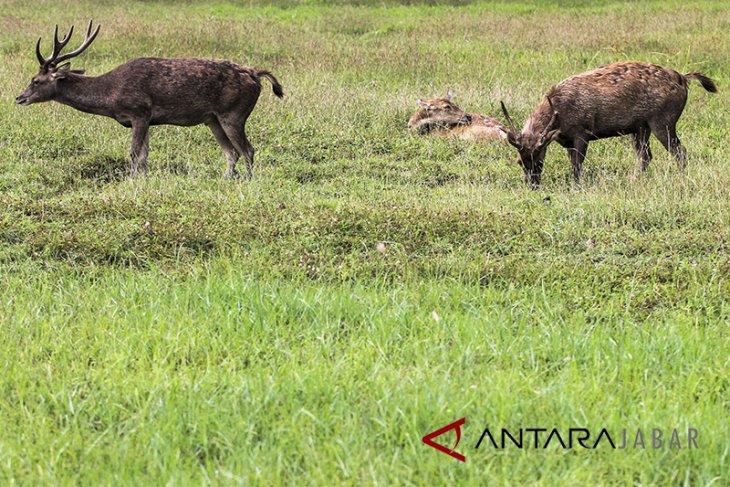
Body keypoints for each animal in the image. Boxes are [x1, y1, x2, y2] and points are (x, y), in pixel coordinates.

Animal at [14, 21, 282, 179]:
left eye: (35, 80)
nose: (19, 98)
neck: (111, 95)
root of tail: (255, 74)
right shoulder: (147, 120)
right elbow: (144, 156)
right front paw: (142, 179)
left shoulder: (139, 112)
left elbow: (134, 153)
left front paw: (131, 180)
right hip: (212, 119)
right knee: (231, 152)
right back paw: (227, 178)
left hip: (234, 112)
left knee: (247, 149)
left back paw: (247, 181)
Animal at [498, 60, 712, 189]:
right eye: (519, 161)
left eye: (540, 161)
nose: (532, 185)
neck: (559, 115)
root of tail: (684, 78)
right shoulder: (567, 140)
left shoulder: (582, 131)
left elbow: (577, 164)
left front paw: (577, 187)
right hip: (640, 128)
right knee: (646, 156)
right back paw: (634, 180)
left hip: (663, 120)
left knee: (679, 151)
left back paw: (681, 180)